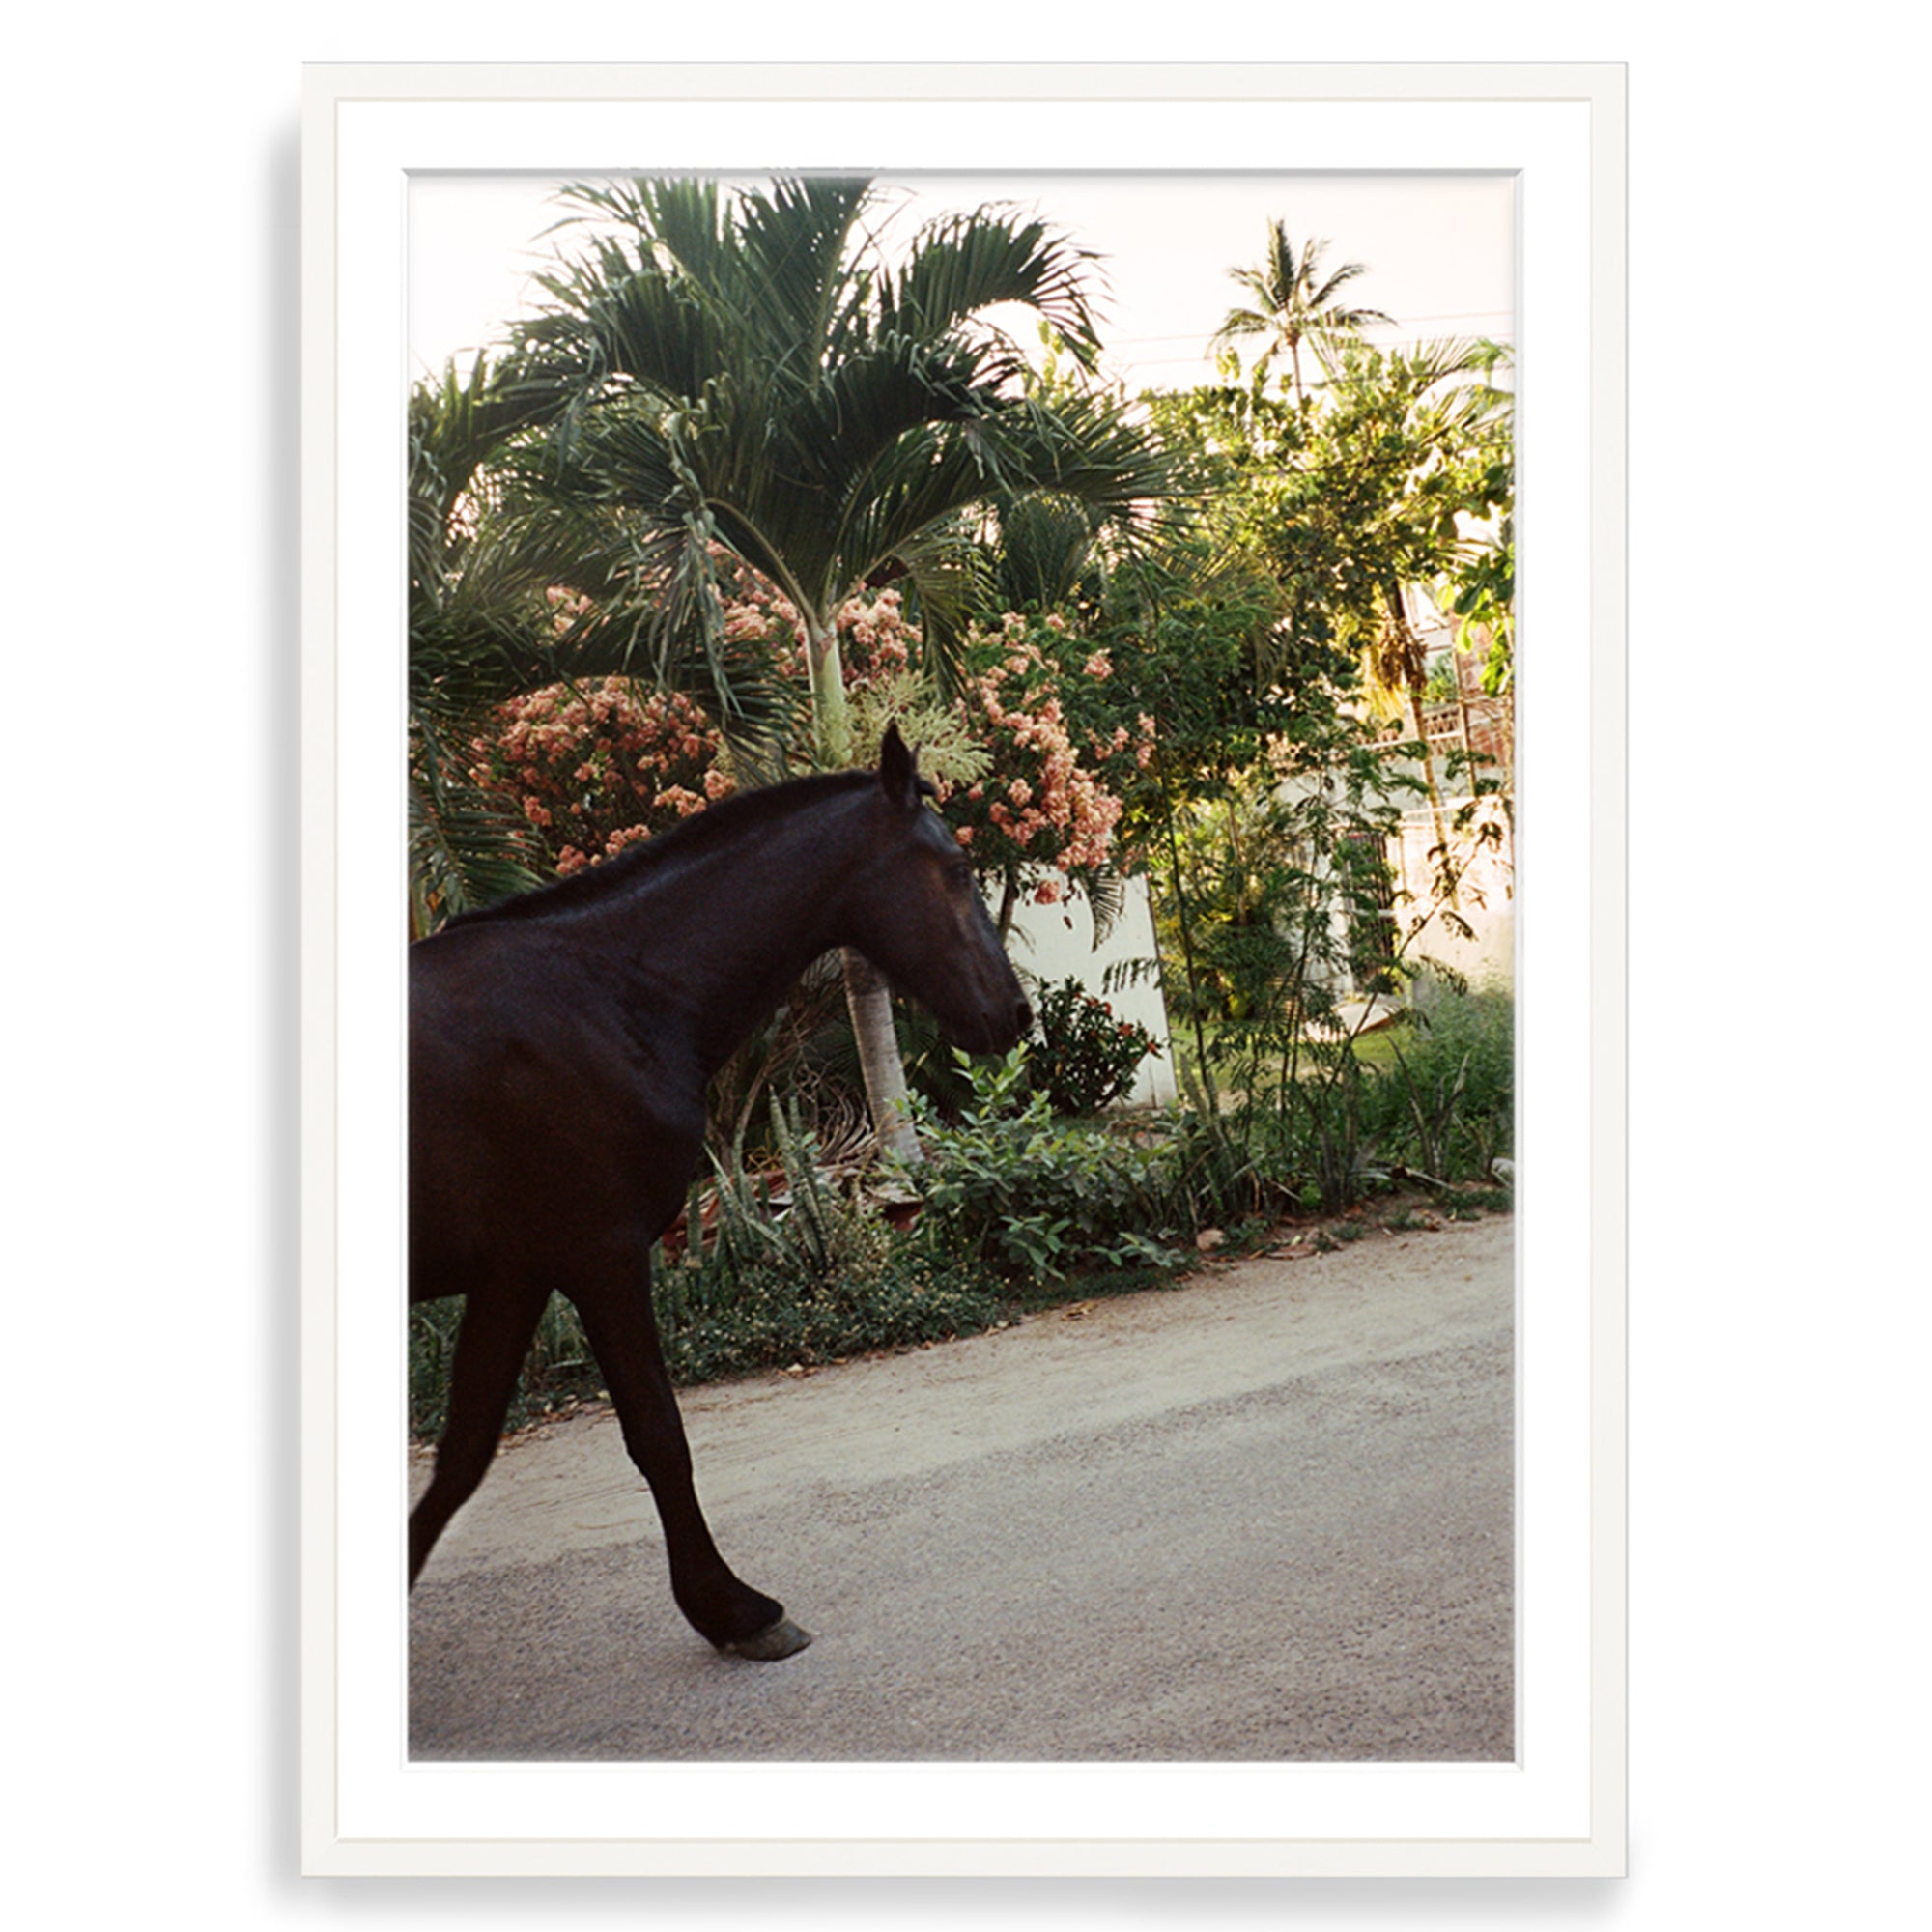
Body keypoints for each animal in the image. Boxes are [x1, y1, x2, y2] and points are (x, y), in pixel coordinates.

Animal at [407, 725, 1031, 1659]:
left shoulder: (514, 1272)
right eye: (955, 869)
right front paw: (732, 1608)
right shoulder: (600, 1254)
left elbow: (463, 1457)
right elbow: (658, 1435)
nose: (1017, 1015)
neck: (608, 993)